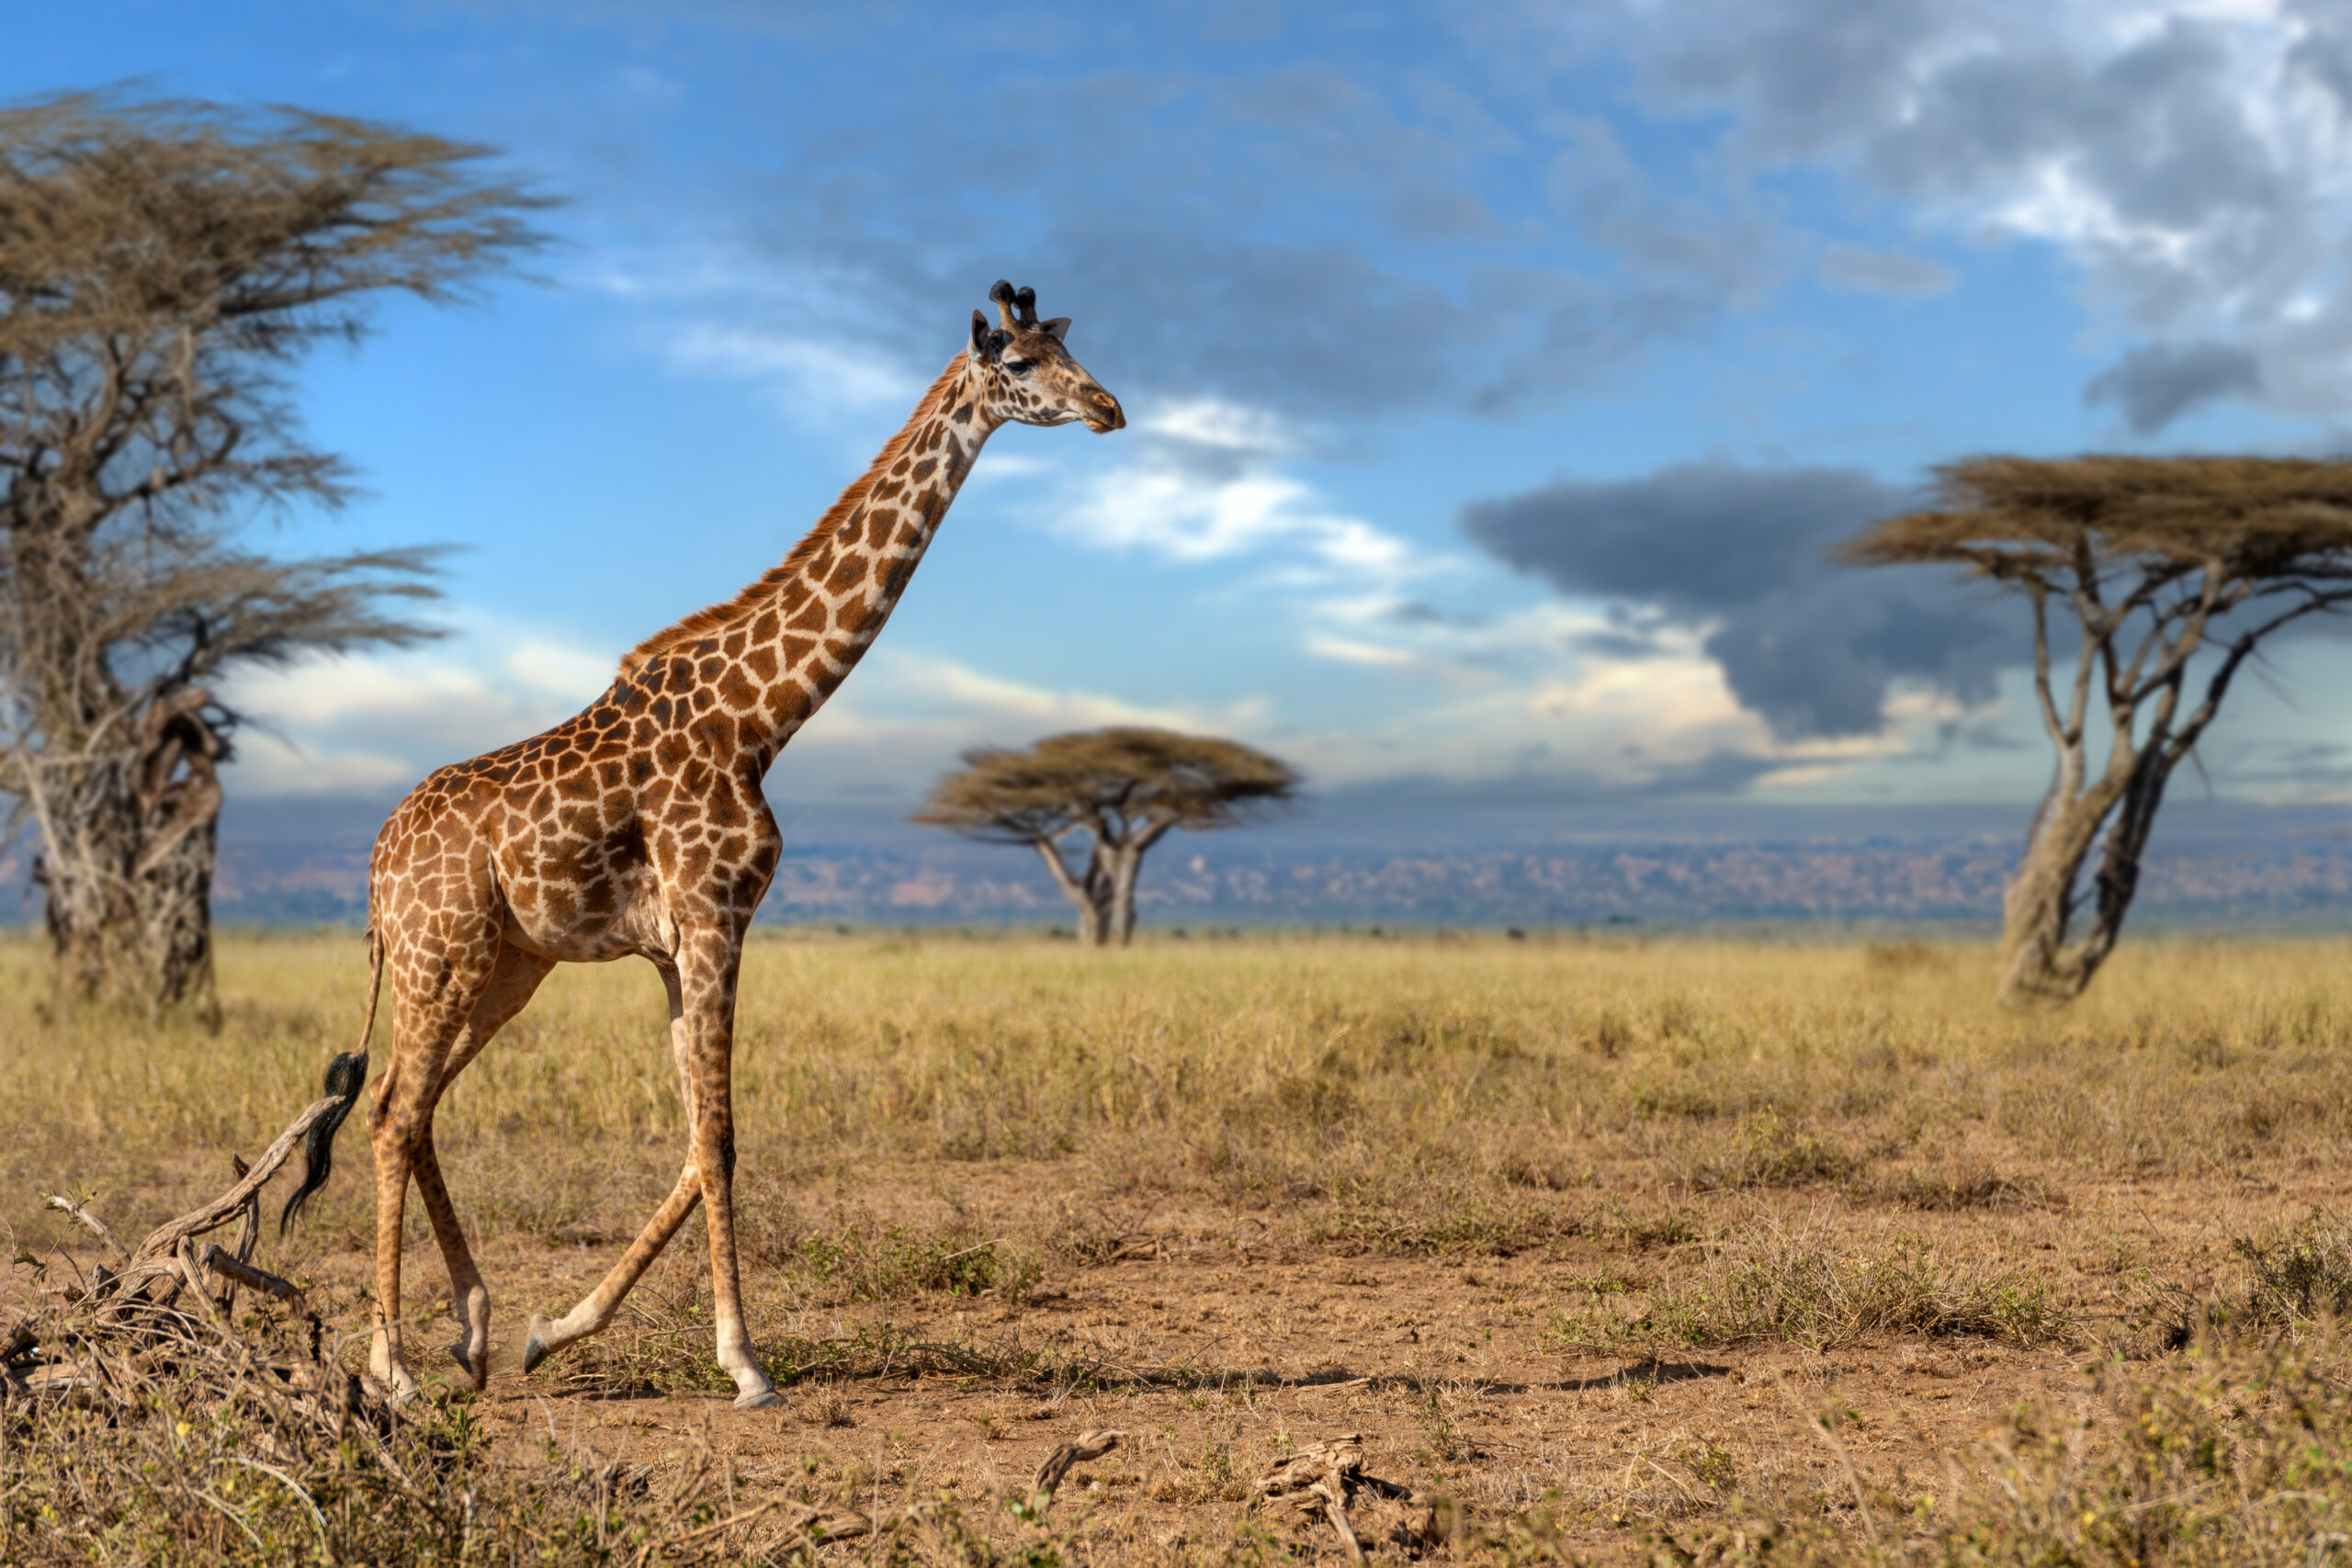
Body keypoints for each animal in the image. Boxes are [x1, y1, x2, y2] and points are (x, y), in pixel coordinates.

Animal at [289, 282, 1123, 1409]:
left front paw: (556, 1329)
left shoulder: (677, 944)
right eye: (1024, 366)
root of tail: (376, 865)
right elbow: (719, 1139)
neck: (763, 715)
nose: (1109, 409)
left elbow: (697, 1138)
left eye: (1072, 350)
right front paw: (746, 1364)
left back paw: (474, 1328)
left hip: (506, 966)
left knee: (412, 1109)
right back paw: (394, 1367)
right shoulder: (715, 917)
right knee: (387, 1111)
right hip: (440, 955)